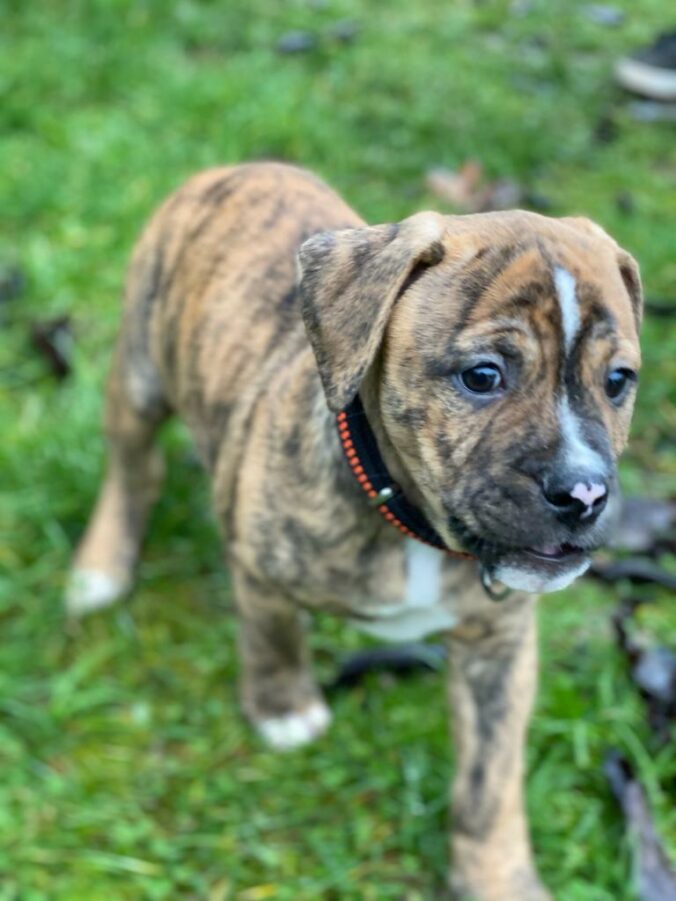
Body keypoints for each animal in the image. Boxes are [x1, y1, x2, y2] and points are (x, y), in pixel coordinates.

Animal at [67, 163, 642, 899]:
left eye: (618, 380)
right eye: (483, 376)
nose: (585, 491)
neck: (410, 523)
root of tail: (242, 166)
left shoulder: (500, 647)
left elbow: (491, 777)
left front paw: (497, 875)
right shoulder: (258, 565)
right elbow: (272, 632)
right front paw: (283, 706)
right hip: (139, 363)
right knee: (133, 465)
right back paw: (101, 567)